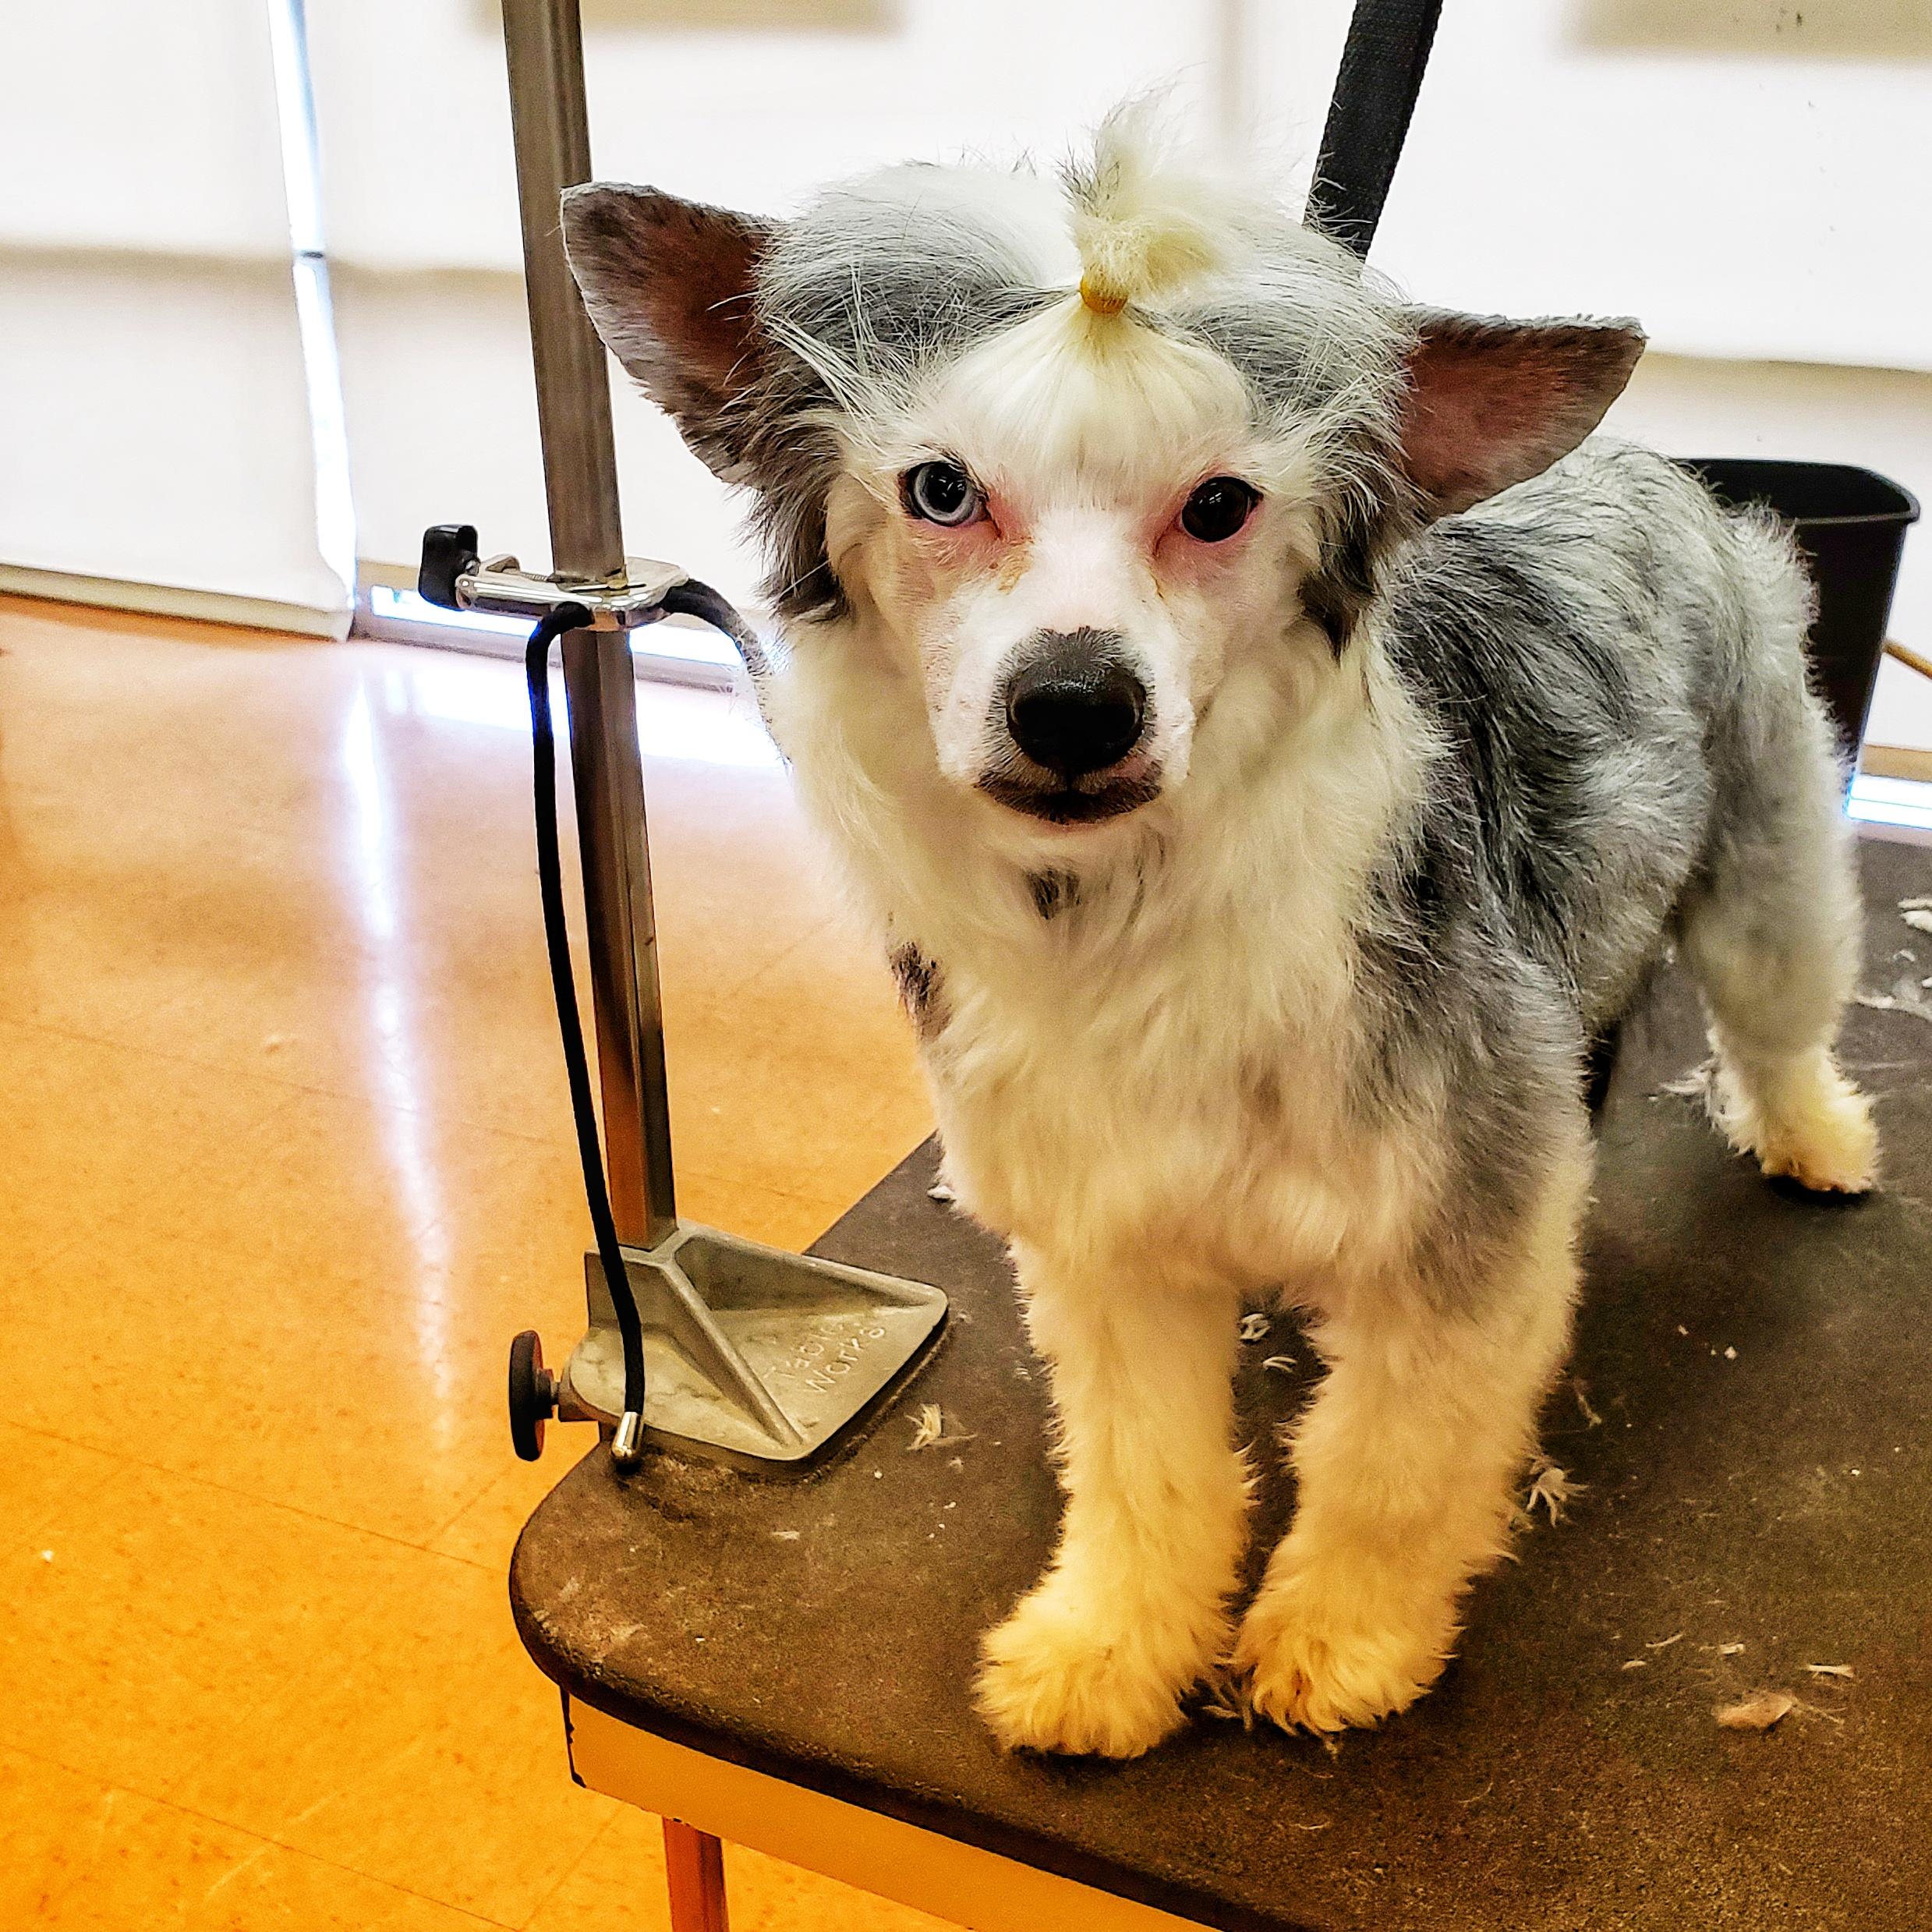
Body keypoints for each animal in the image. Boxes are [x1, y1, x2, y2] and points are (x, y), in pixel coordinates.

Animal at [562, 109, 1877, 1758]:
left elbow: (1389, 1466)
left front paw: (1339, 1637)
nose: (1073, 704)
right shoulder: (1111, 1243)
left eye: (1217, 505)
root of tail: (1653, 466)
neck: (1135, 908)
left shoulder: (1466, 1230)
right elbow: (1143, 1471)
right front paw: (1114, 1644)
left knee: (1778, 1020)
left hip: (1768, 860)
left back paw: (1817, 1136)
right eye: (940, 491)